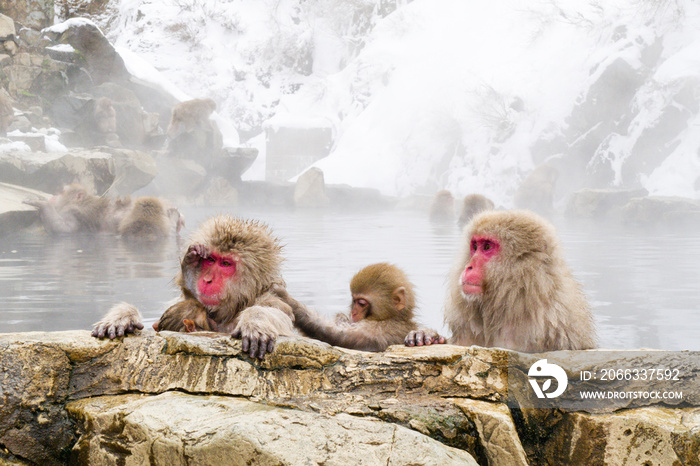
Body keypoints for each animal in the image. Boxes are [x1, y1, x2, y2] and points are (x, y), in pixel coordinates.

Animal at [292, 264, 438, 352]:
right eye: (353, 300)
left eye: (361, 303)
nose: (353, 312)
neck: (394, 317)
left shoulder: (380, 330)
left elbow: (339, 336)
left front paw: (291, 303)